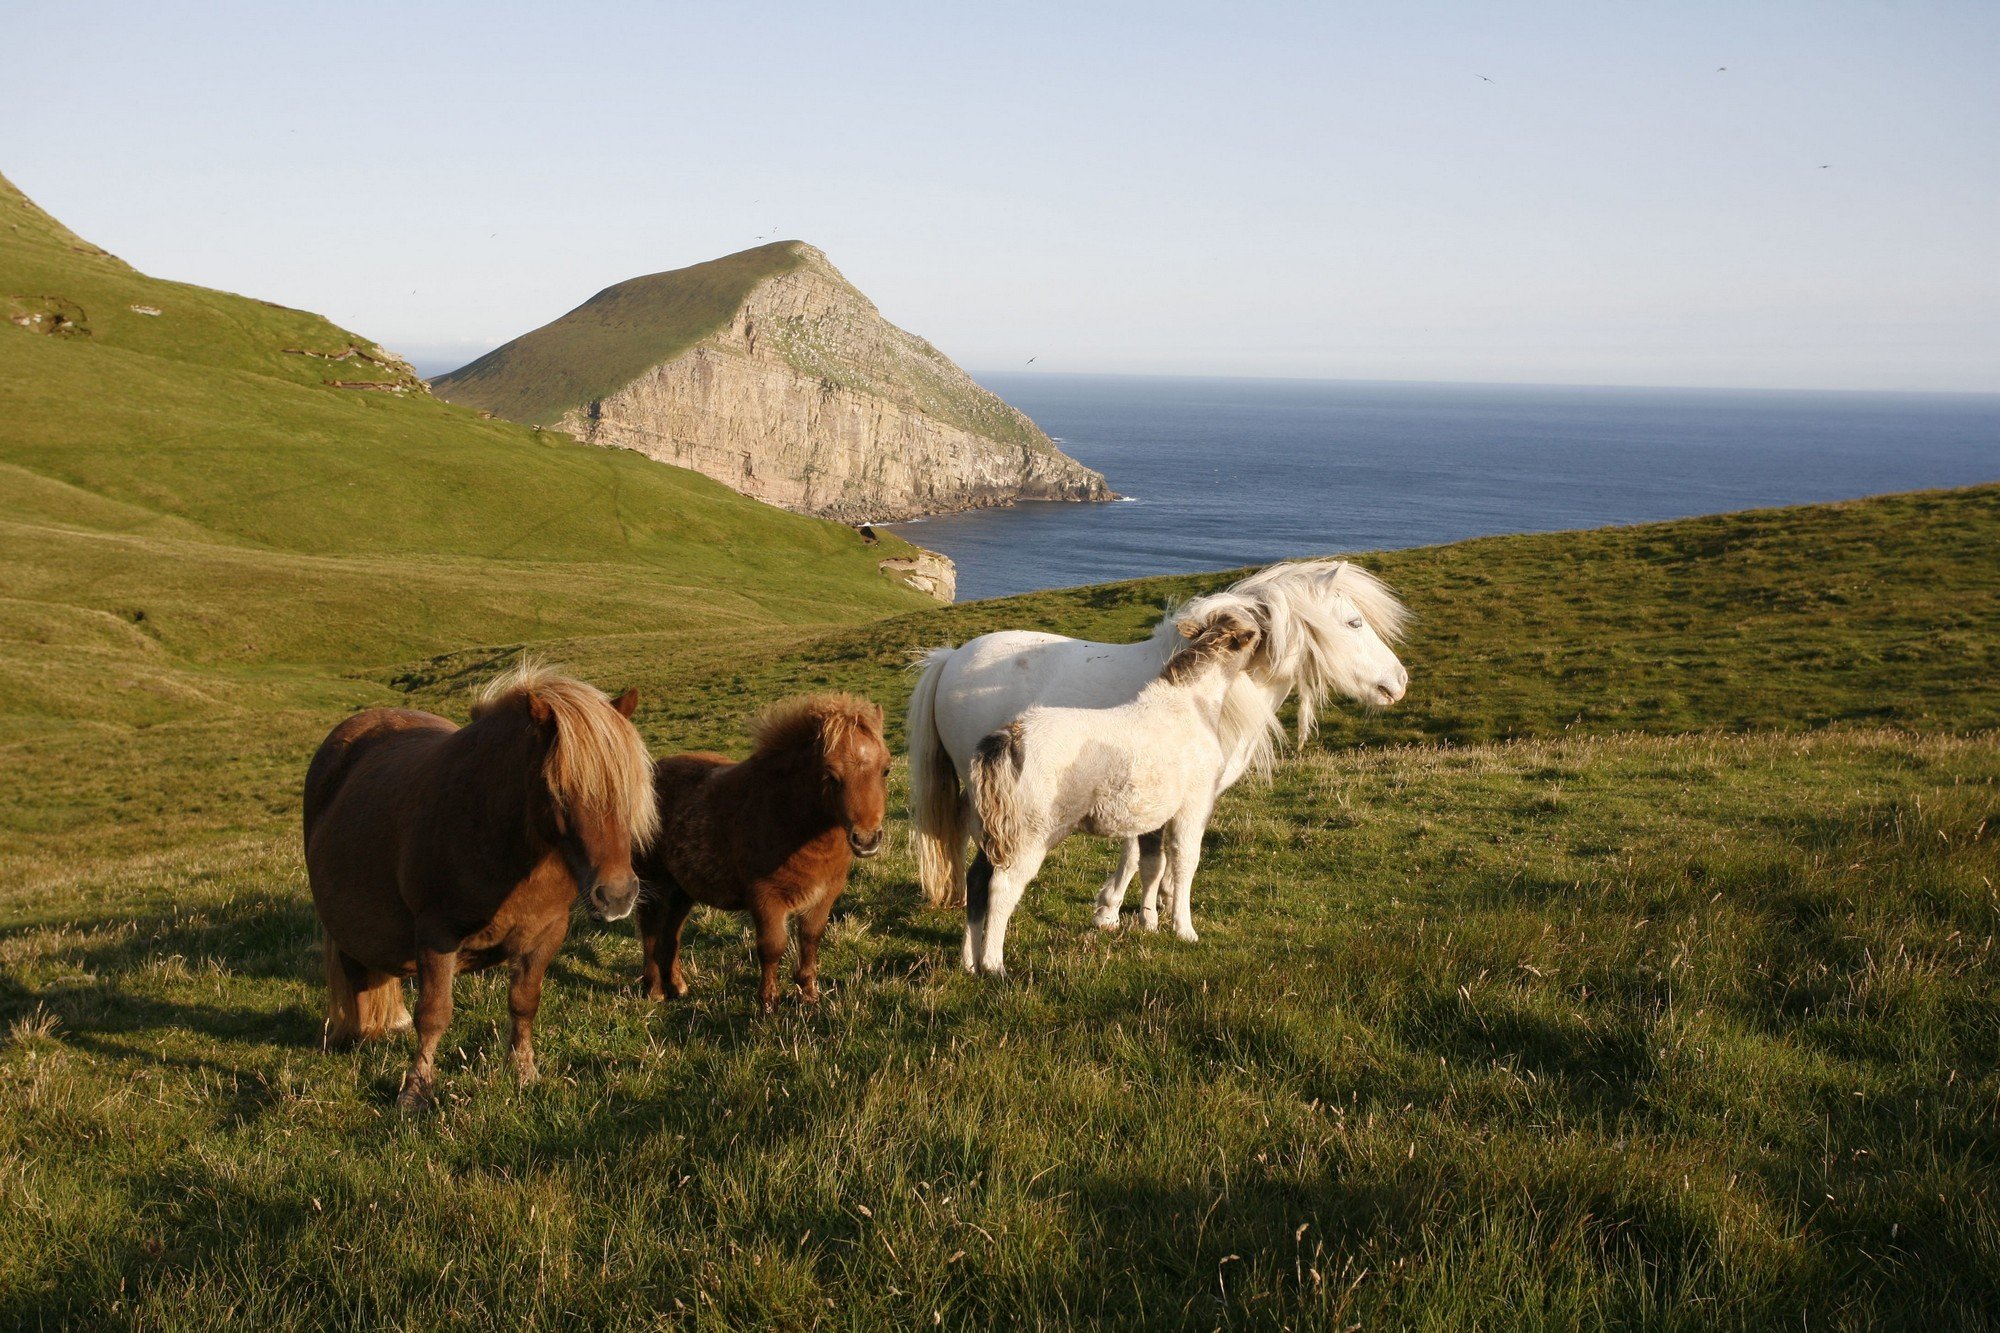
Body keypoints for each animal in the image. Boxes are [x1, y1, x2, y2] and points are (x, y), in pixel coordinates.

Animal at [304, 661, 659, 1108]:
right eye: (558, 790)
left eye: (627, 789)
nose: (617, 896)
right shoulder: (437, 935)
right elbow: (434, 1014)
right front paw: (416, 1089)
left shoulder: (546, 933)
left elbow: (524, 1003)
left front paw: (524, 1073)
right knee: (357, 972)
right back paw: (358, 1033)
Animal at [635, 693, 889, 1013]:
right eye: (831, 775)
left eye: (886, 769)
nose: (866, 839)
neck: (786, 813)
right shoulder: (766, 897)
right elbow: (772, 947)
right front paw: (768, 1003)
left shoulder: (824, 895)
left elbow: (810, 939)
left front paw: (809, 995)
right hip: (654, 883)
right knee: (650, 929)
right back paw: (655, 990)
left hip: (682, 889)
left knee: (671, 933)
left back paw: (678, 987)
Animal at [908, 558, 1410, 919]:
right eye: (1353, 623)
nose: (1400, 681)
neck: (1205, 690)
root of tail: (951, 658)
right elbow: (1140, 854)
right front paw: (1113, 912)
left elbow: (1156, 855)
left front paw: (1155, 906)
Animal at [964, 610, 1263, 976]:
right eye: (1252, 633)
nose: (1264, 638)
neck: (1190, 706)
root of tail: (1011, 736)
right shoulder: (1194, 804)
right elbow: (1185, 860)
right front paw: (1184, 929)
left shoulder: (1154, 814)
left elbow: (1152, 864)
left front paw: (1149, 923)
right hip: (1029, 834)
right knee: (1002, 888)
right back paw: (994, 965)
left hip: (992, 828)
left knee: (976, 880)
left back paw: (969, 962)